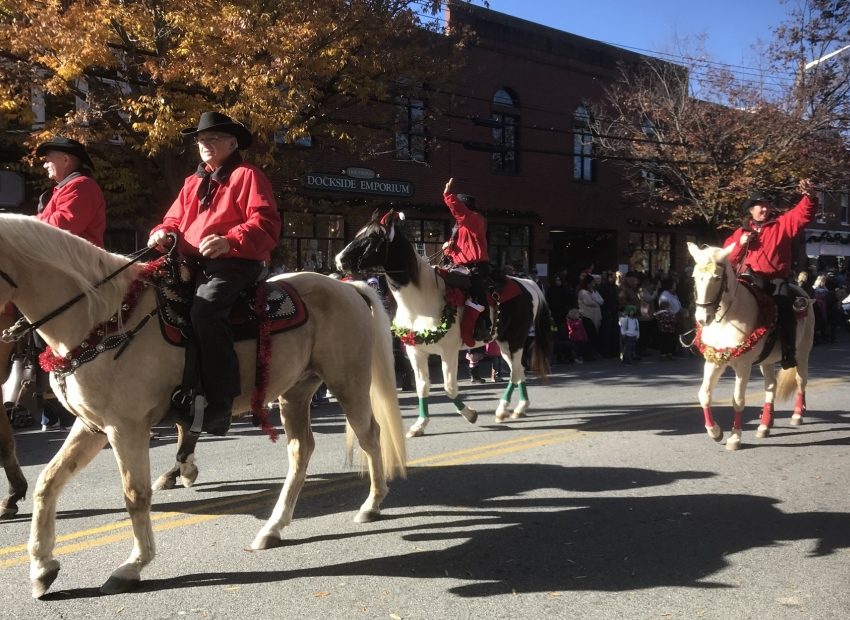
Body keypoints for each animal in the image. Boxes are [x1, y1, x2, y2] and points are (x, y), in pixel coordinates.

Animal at [0, 213, 408, 596]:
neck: (104, 316)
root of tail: (348, 287)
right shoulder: (93, 426)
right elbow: (48, 482)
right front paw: (42, 568)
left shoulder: (125, 427)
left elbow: (135, 495)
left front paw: (133, 565)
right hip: (295, 392)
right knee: (301, 450)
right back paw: (273, 528)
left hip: (348, 383)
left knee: (370, 436)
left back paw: (371, 505)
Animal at [334, 211, 552, 438]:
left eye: (372, 237)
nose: (339, 260)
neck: (421, 299)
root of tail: (527, 283)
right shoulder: (416, 351)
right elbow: (422, 386)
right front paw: (419, 424)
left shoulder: (449, 351)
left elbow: (449, 387)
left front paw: (470, 414)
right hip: (503, 342)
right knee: (518, 371)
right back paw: (520, 408)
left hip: (515, 339)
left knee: (516, 372)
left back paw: (503, 409)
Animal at [684, 241, 812, 450]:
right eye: (695, 277)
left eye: (717, 278)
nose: (702, 319)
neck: (727, 318)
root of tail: (801, 291)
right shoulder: (714, 360)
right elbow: (704, 394)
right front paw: (715, 432)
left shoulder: (743, 366)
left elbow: (738, 400)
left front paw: (735, 437)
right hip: (767, 361)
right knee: (771, 385)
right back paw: (765, 425)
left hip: (802, 353)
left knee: (801, 381)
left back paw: (797, 415)